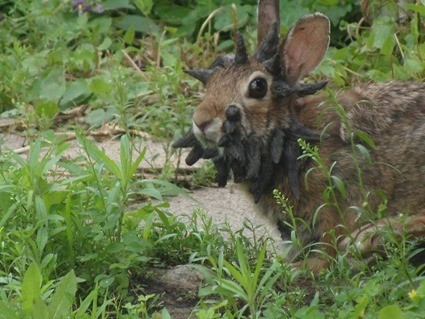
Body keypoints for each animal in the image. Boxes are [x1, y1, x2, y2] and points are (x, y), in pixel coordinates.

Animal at [171, 0, 424, 276]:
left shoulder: (336, 199)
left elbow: (328, 248)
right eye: (212, 81)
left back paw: (372, 237)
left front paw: (299, 268)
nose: (201, 120)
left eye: (258, 87)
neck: (292, 138)